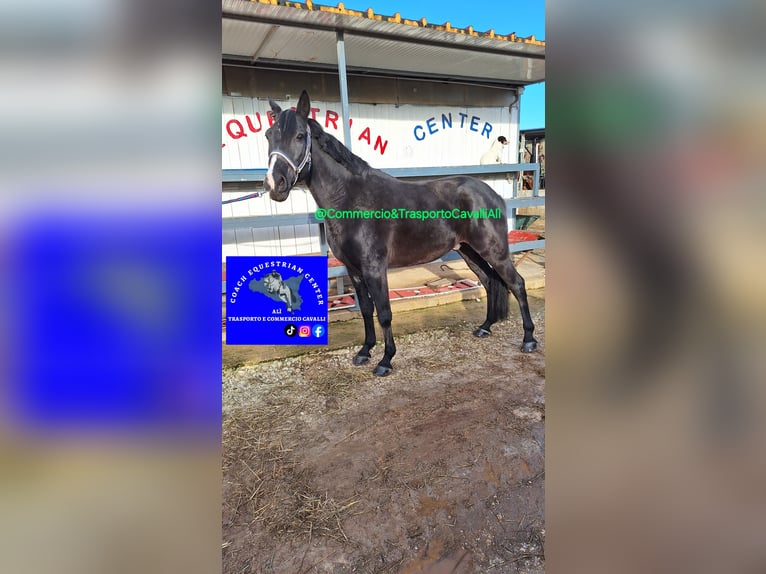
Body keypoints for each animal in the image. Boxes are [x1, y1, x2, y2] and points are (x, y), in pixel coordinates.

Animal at [266, 90, 540, 378]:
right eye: (268, 135)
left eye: (299, 135)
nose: (275, 184)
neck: (351, 198)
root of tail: (491, 193)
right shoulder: (354, 270)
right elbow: (366, 310)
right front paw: (365, 351)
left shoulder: (374, 268)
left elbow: (384, 312)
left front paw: (386, 360)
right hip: (469, 251)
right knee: (488, 282)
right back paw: (485, 327)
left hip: (495, 251)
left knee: (517, 284)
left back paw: (528, 339)